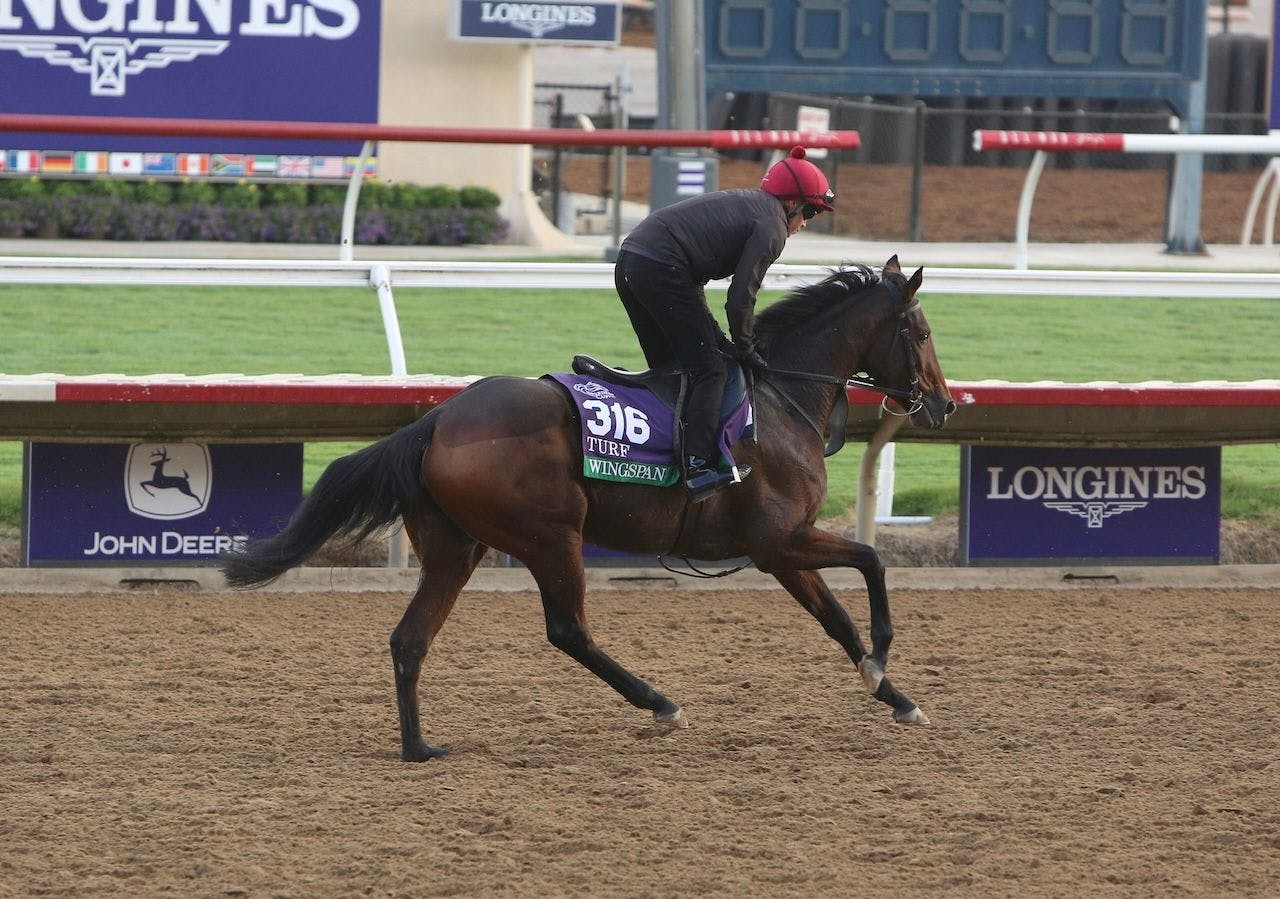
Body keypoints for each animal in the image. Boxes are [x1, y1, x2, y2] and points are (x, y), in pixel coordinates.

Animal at [225, 257, 957, 763]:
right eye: (921, 330)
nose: (945, 403)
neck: (780, 400)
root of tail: (435, 421)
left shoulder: (781, 549)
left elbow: (837, 620)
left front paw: (896, 697)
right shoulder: (778, 540)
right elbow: (872, 559)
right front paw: (885, 657)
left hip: (457, 547)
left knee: (410, 638)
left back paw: (418, 746)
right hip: (552, 536)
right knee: (568, 629)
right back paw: (660, 703)